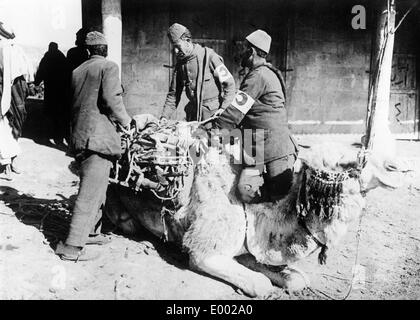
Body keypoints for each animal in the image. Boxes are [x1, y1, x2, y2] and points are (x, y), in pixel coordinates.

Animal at [102, 119, 400, 298]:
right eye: (345, 162)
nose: (396, 166)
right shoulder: (205, 250)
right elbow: (260, 284)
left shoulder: (252, 243)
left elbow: (295, 278)